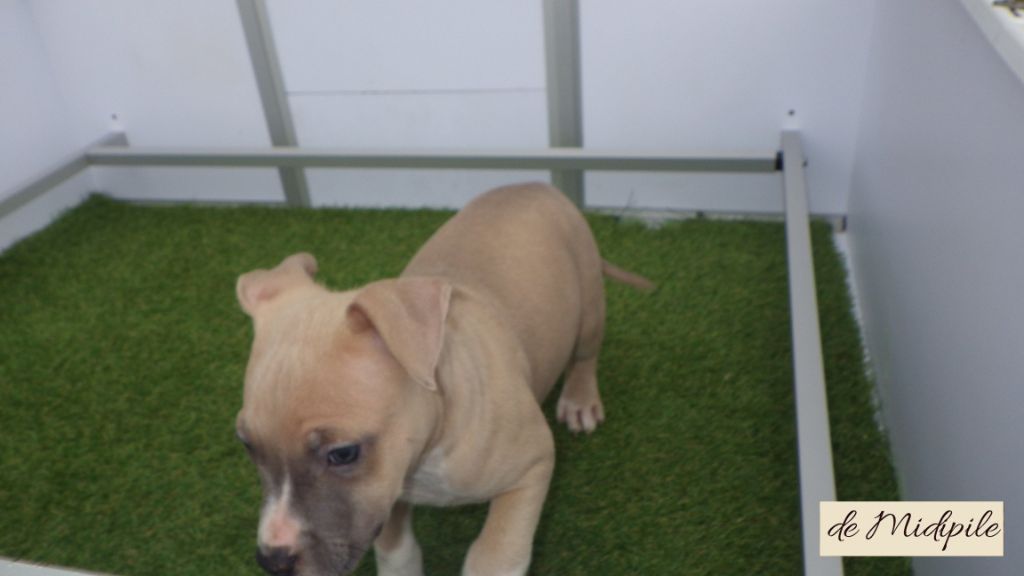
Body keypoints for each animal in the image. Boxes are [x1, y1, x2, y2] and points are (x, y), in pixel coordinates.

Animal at [234, 183, 653, 576]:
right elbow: (394, 543)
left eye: (343, 453)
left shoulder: (533, 465)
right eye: (247, 446)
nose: (272, 561)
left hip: (588, 302)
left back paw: (580, 400)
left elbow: (496, 553)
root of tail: (535, 184)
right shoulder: (388, 493)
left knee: (585, 354)